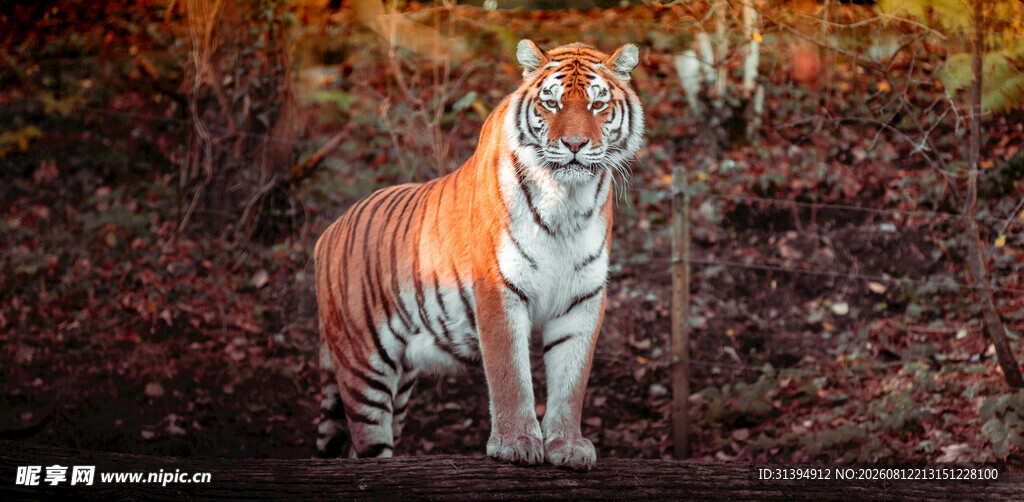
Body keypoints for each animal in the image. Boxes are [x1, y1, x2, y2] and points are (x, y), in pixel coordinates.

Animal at [314, 40, 644, 470]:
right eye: (551, 103)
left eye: (597, 104)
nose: (574, 145)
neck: (567, 202)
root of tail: (327, 232)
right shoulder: (498, 288)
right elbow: (510, 376)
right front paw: (516, 443)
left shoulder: (582, 298)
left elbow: (572, 381)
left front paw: (568, 446)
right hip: (363, 366)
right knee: (365, 444)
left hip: (400, 383)